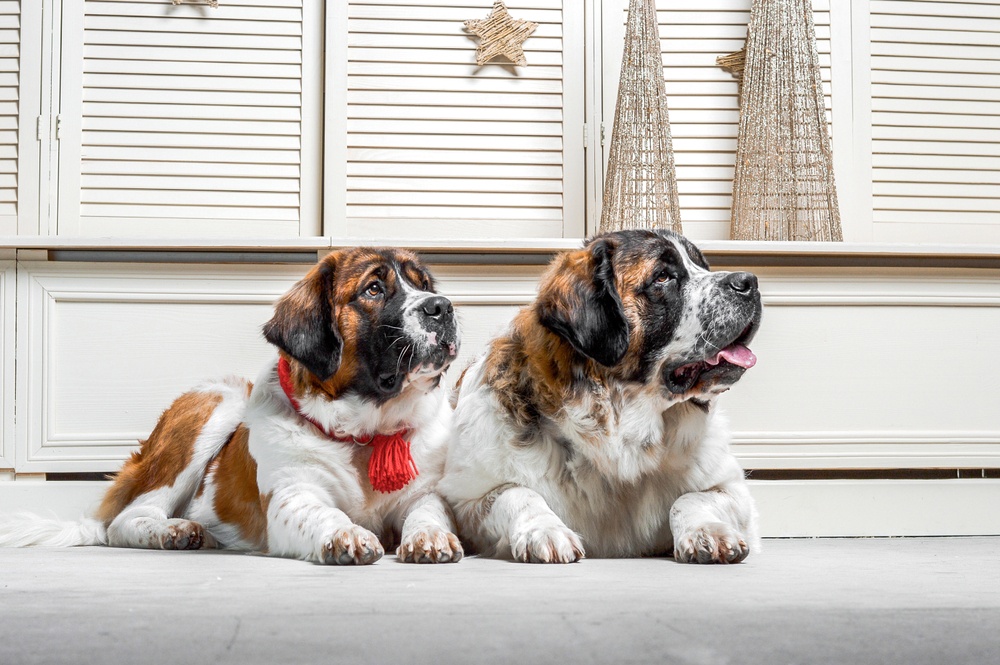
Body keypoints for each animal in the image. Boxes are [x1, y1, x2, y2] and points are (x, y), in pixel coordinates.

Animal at [0, 246, 464, 564]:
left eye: (423, 285)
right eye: (373, 289)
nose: (442, 307)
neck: (364, 431)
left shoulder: (423, 492)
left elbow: (430, 511)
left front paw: (429, 537)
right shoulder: (291, 496)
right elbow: (321, 513)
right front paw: (346, 534)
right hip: (217, 401)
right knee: (126, 519)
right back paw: (173, 531)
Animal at [442, 230, 760, 564]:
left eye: (703, 267)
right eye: (663, 276)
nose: (749, 281)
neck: (621, 437)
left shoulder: (733, 491)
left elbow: (691, 497)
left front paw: (707, 532)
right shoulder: (467, 501)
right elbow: (517, 492)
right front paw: (545, 530)